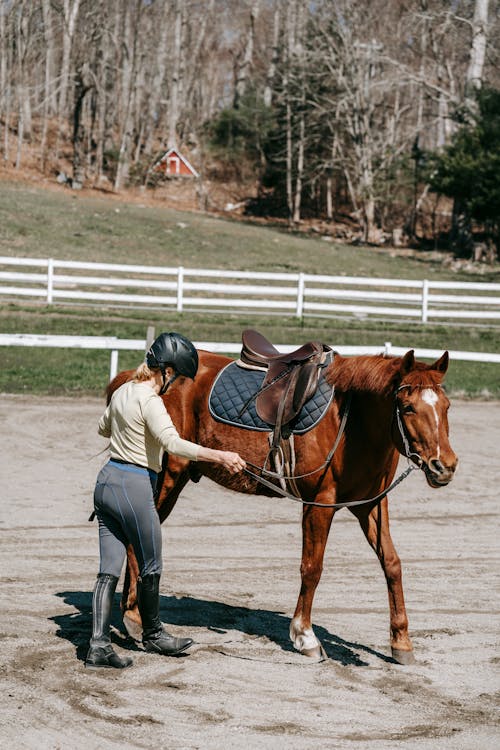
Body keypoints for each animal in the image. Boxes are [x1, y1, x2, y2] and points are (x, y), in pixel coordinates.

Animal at [108, 344, 458, 668]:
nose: (445, 466)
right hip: (165, 477)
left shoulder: (371, 504)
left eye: (446, 406)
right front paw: (305, 636)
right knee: (138, 537)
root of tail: (138, 380)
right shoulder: (319, 505)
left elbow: (392, 564)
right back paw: (134, 616)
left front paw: (401, 641)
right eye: (408, 407)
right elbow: (312, 568)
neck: (351, 421)